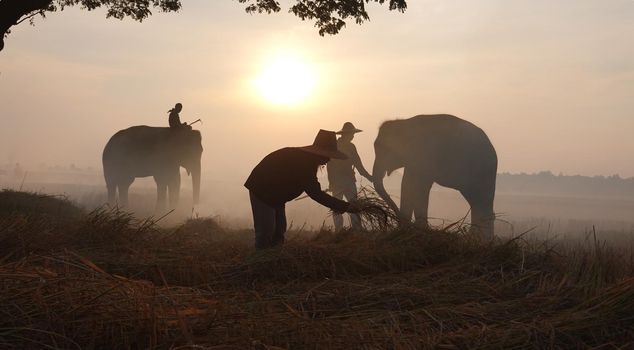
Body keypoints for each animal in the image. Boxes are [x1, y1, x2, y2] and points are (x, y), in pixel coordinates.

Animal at [370, 115, 498, 238]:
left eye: (383, 149)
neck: (405, 122)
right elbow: (411, 185)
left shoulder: (424, 155)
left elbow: (415, 186)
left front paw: (419, 229)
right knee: (477, 202)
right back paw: (478, 236)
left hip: (482, 172)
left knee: (482, 199)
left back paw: (482, 237)